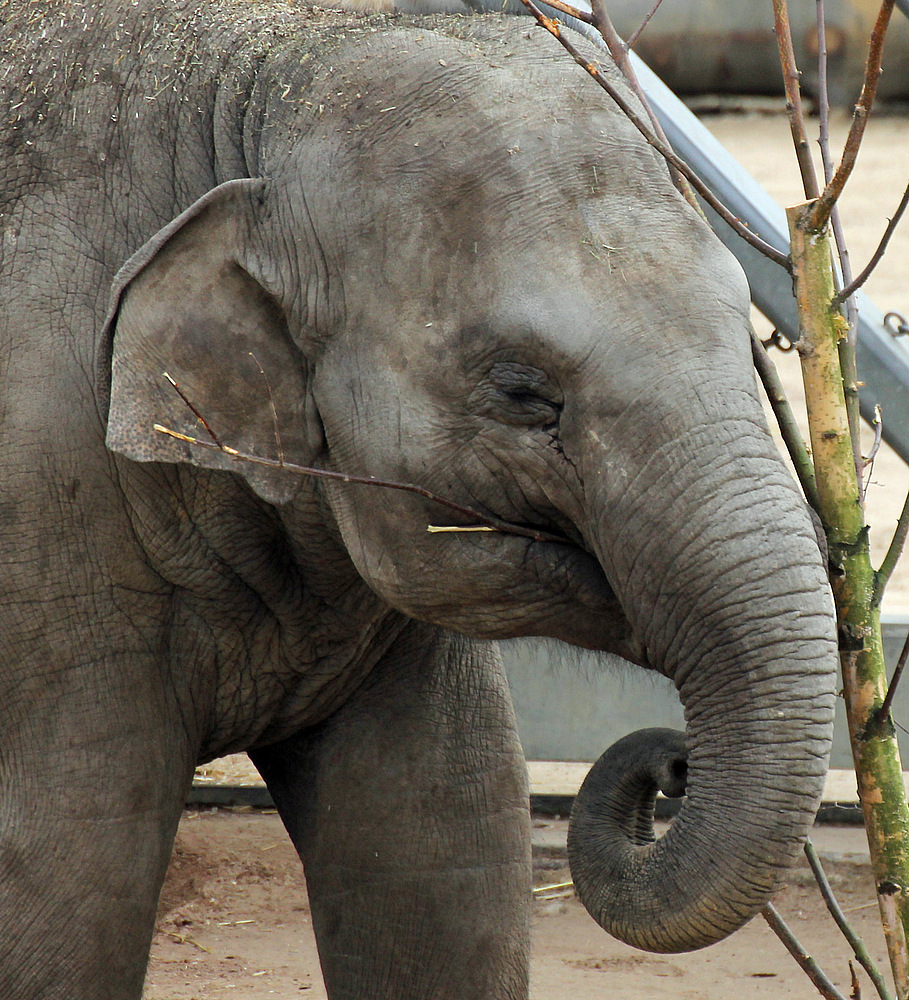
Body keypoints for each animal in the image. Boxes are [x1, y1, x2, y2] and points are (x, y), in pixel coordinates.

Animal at [0, 0, 836, 996]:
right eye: (522, 391)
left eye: (743, 331)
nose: (669, 764)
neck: (255, 79)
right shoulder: (47, 515)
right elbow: (73, 875)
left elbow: (441, 850)